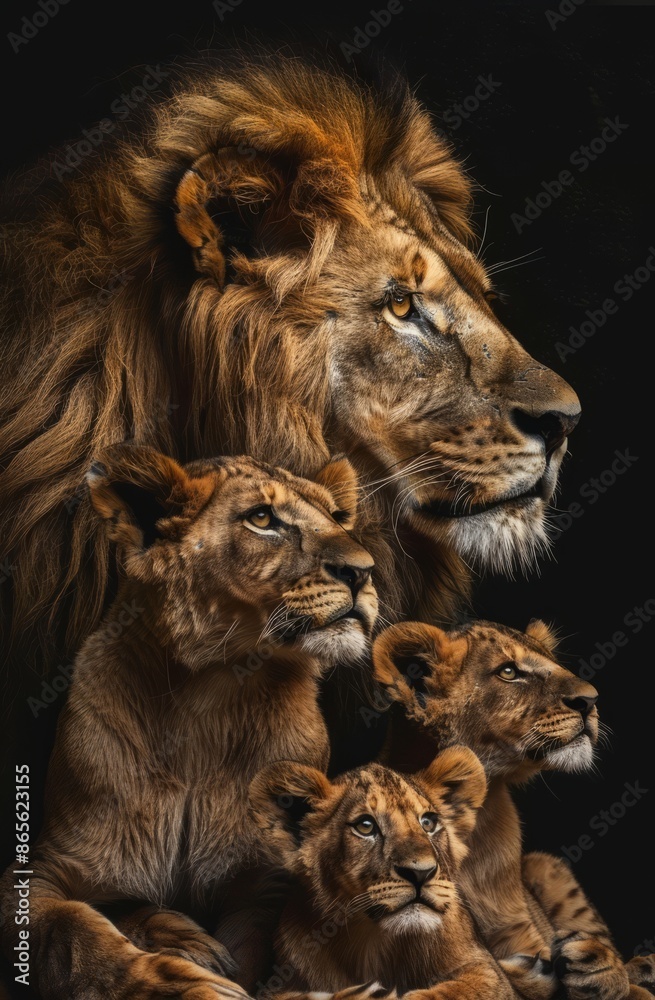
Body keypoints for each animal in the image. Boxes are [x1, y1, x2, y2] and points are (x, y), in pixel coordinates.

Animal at [0, 443, 378, 1000]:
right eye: (261, 518)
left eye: (335, 516)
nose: (363, 571)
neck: (208, 700)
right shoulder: (39, 870)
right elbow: (73, 933)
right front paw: (189, 981)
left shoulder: (267, 883)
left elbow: (259, 944)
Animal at [249, 747, 521, 1000]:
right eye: (365, 826)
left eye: (428, 823)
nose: (420, 873)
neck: (375, 946)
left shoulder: (484, 968)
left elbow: (462, 989)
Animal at [372, 619, 651, 1000]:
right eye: (508, 672)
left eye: (555, 662)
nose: (591, 700)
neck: (478, 820)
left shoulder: (518, 930)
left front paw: (601, 971)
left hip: (546, 864)